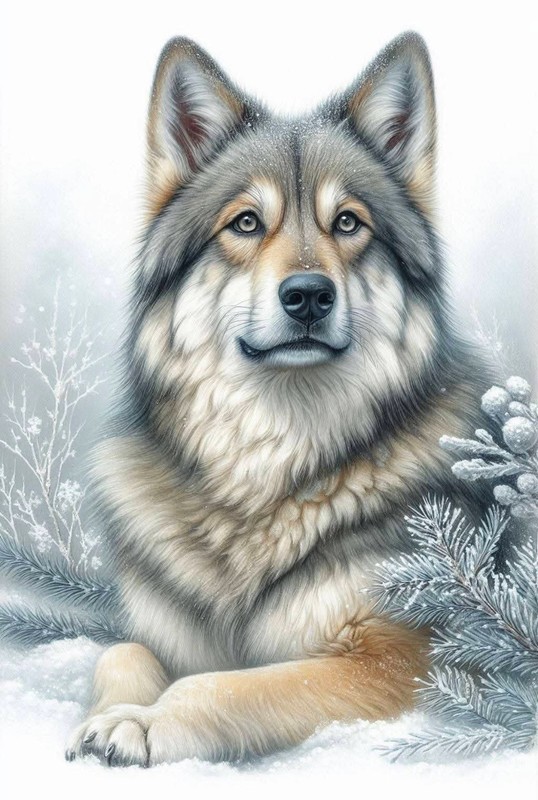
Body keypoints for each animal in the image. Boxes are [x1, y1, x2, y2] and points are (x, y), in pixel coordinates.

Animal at [66, 31, 490, 766]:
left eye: (347, 222)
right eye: (245, 222)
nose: (309, 296)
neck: (268, 466)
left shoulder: (400, 658)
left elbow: (228, 684)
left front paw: (141, 723)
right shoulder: (164, 634)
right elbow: (121, 652)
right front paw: (112, 711)